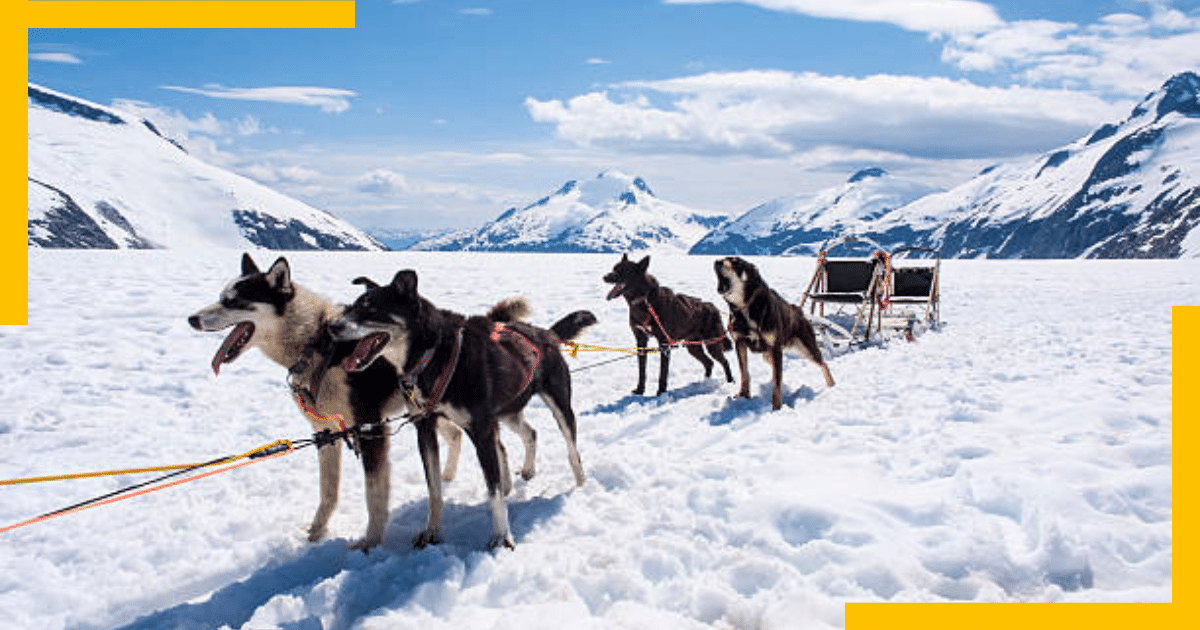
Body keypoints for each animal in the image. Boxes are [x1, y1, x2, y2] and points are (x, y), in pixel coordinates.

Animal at [328, 270, 595, 549]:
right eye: (352, 307)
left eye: (371, 309)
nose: (332, 327)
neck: (433, 356)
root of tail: (546, 334)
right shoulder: (425, 429)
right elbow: (434, 489)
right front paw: (432, 532)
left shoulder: (481, 430)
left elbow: (493, 491)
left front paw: (501, 537)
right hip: (505, 413)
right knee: (529, 433)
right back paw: (526, 472)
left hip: (558, 408)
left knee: (572, 451)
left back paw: (580, 486)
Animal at [604, 254, 734, 393]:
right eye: (614, 268)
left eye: (624, 271)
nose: (605, 277)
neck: (644, 301)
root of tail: (713, 307)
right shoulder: (641, 340)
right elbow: (642, 370)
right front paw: (640, 390)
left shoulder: (664, 343)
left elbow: (663, 372)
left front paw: (660, 392)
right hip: (693, 347)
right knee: (709, 362)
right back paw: (705, 382)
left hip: (712, 344)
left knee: (724, 361)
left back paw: (730, 382)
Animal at [710, 255, 835, 408]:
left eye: (736, 262)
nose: (717, 261)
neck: (745, 308)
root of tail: (799, 311)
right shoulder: (740, 343)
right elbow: (744, 373)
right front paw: (744, 395)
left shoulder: (775, 348)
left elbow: (776, 383)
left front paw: (776, 408)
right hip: (769, 354)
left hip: (806, 349)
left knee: (823, 364)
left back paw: (832, 386)